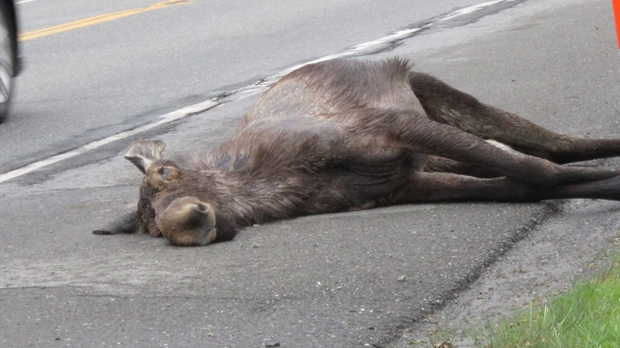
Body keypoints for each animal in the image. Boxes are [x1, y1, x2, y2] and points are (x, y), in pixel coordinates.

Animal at [93, 57, 620, 247]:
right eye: (151, 226)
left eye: (167, 171)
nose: (188, 222)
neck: (273, 187)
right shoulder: (403, 184)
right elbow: (522, 184)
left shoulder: (392, 128)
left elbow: (538, 170)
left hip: (434, 94)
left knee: (555, 143)